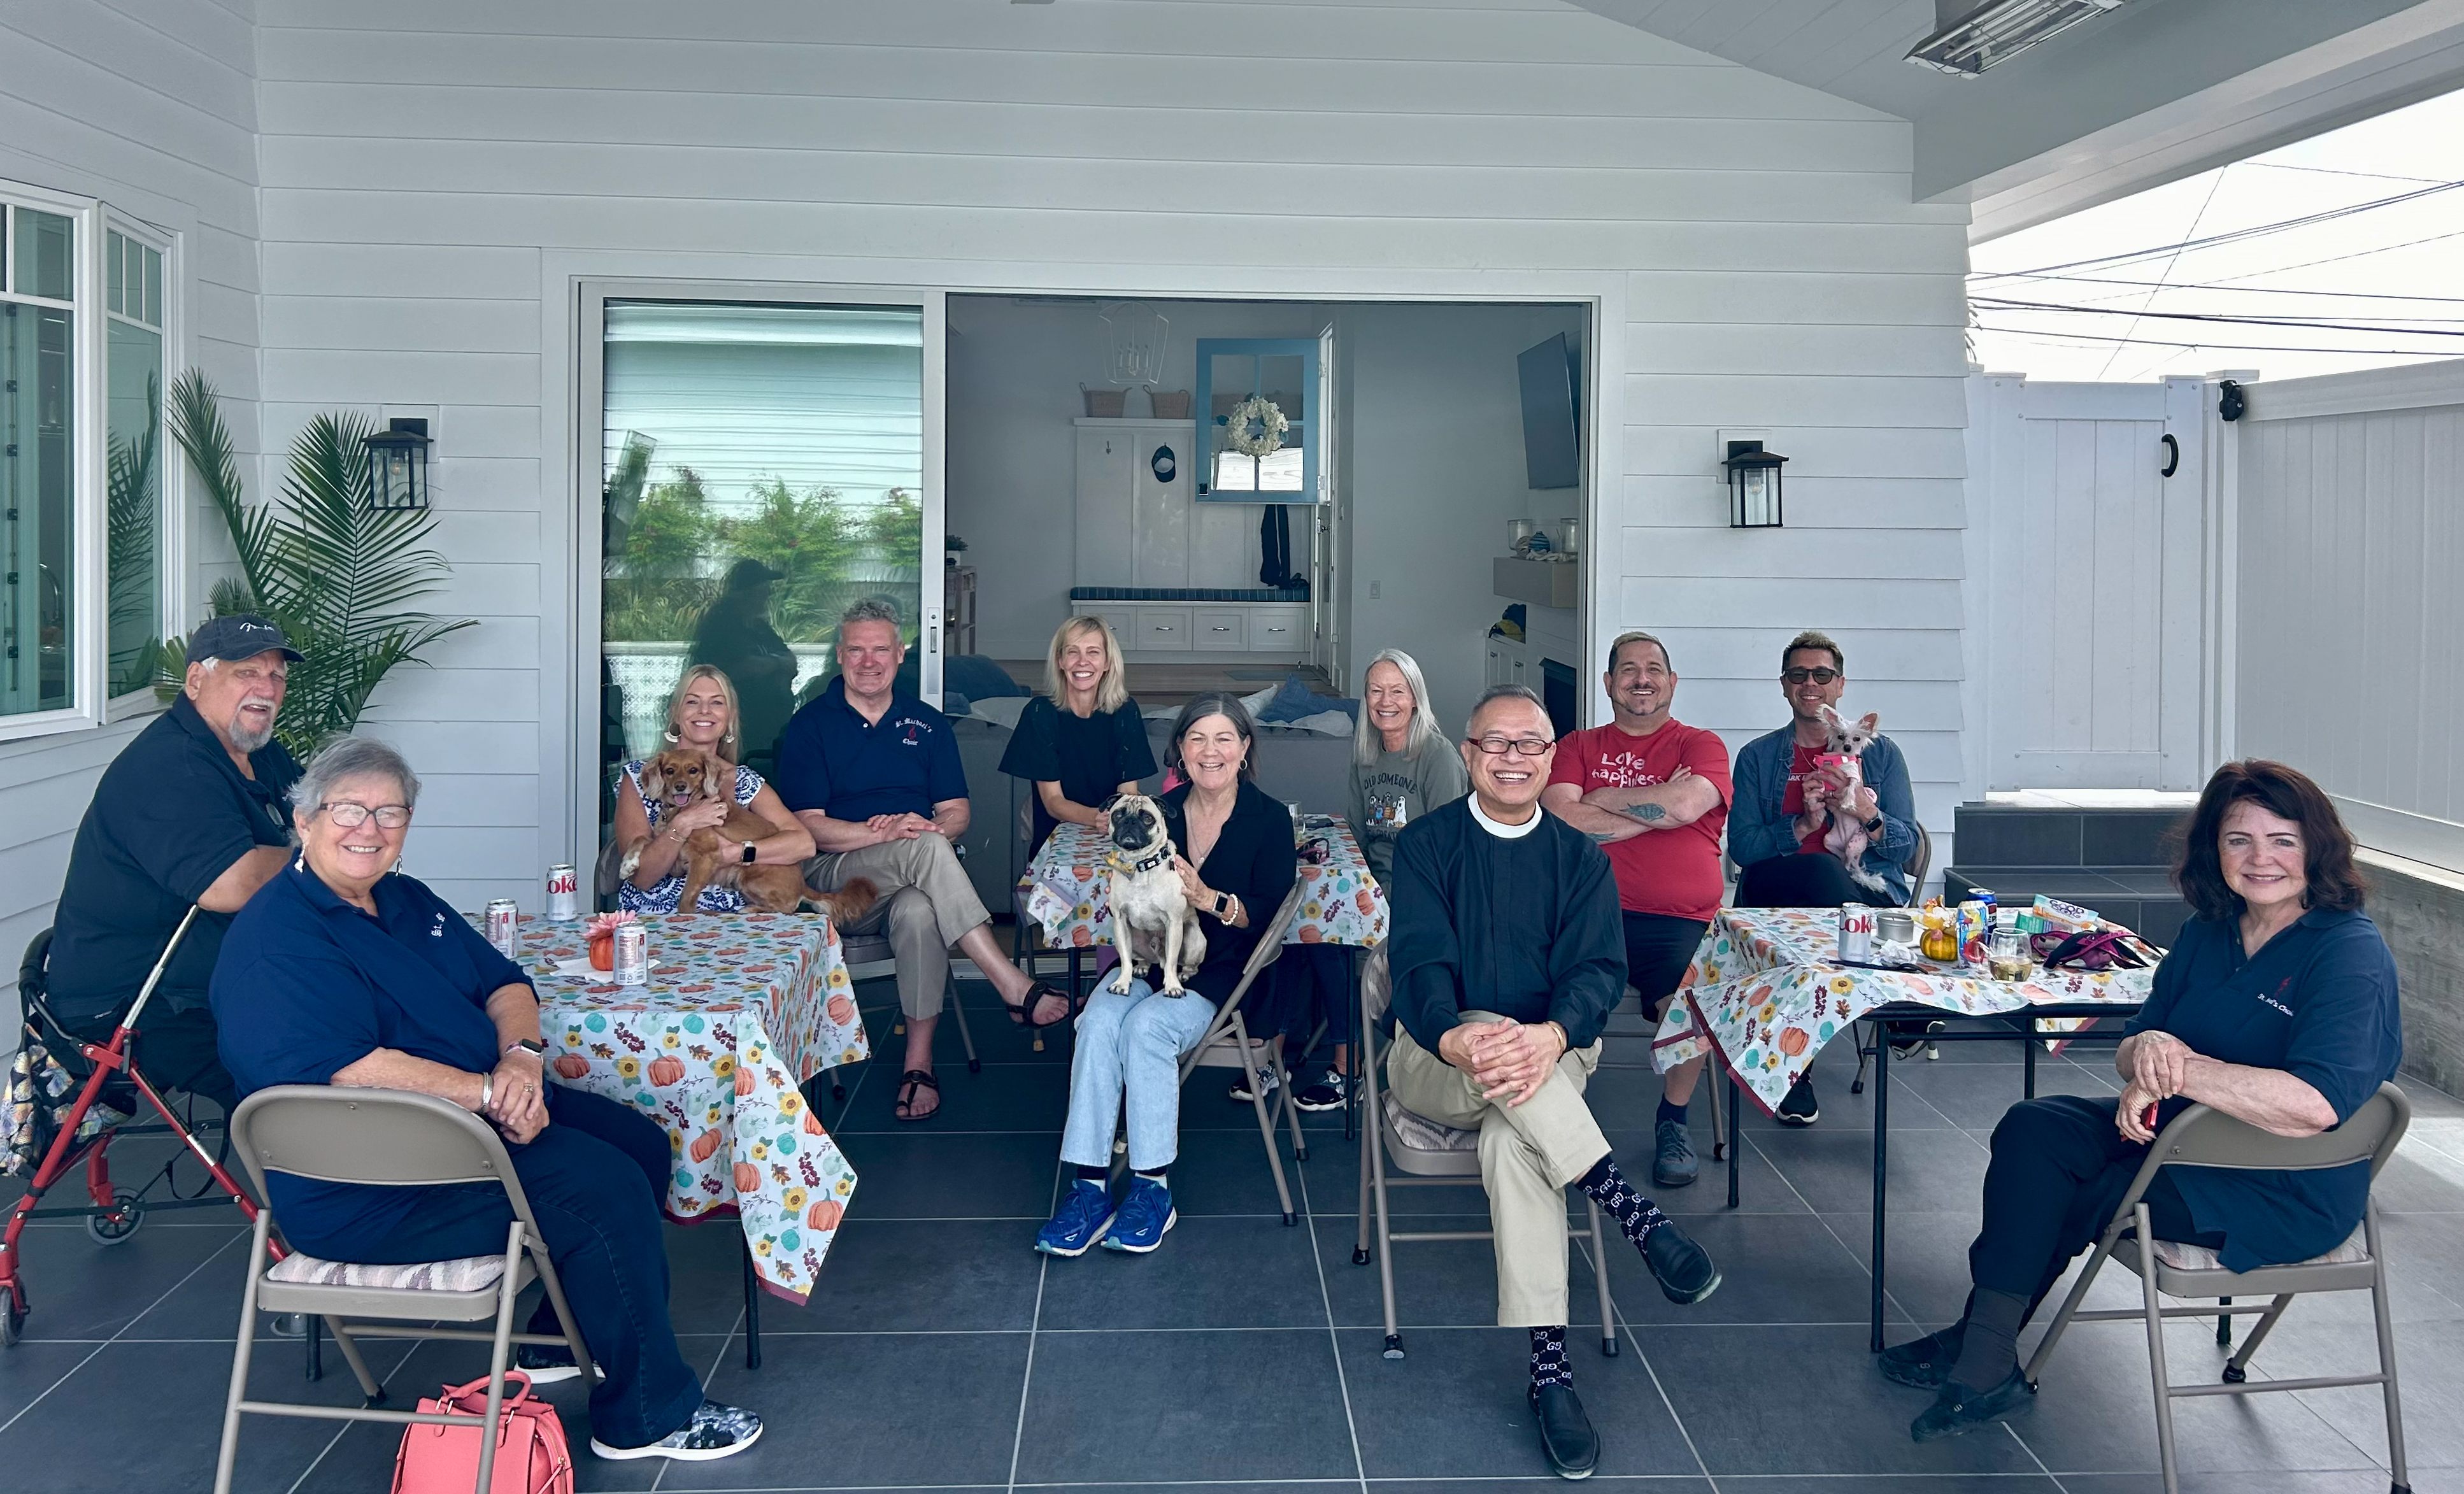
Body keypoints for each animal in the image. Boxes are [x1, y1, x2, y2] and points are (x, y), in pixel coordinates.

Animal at [625, 749, 877, 927]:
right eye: (670, 770)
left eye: (693, 770)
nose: (680, 787)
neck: (680, 811)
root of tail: (803, 883)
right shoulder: (676, 863)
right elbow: (641, 840)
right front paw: (627, 865)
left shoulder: (706, 856)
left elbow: (686, 899)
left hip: (750, 876)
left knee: (786, 909)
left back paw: (750, 911)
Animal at [1109, 799, 1202, 996]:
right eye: (1118, 814)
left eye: (1147, 818)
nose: (1130, 821)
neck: (1139, 865)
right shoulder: (1120, 921)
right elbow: (1125, 960)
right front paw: (1123, 982)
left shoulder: (1174, 922)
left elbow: (1172, 962)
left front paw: (1173, 986)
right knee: (1140, 959)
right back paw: (1141, 967)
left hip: (1193, 937)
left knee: (1187, 966)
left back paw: (1184, 975)